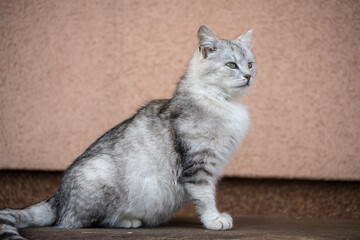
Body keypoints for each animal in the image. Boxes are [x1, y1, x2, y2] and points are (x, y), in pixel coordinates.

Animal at [0, 25, 256, 239]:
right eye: (231, 65)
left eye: (251, 65)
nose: (248, 76)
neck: (224, 102)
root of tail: (56, 199)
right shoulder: (198, 165)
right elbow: (205, 196)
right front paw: (214, 220)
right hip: (99, 174)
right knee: (79, 222)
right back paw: (127, 220)